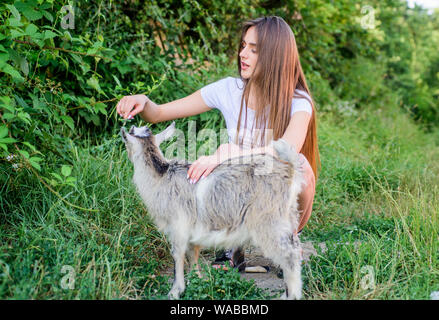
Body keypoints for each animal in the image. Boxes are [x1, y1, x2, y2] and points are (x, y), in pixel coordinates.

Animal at [120, 122, 306, 300]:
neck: (161, 177)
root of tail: (290, 169)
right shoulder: (193, 229)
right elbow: (192, 254)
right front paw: (196, 281)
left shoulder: (179, 226)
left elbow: (178, 255)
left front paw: (175, 291)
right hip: (288, 215)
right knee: (296, 248)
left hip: (268, 220)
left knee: (289, 254)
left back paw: (291, 296)